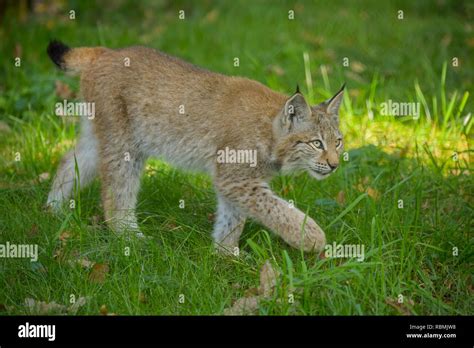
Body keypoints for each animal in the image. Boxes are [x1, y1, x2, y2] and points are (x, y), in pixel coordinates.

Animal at [47, 40, 344, 254]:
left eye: (338, 142)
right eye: (316, 143)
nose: (334, 165)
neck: (271, 132)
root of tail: (107, 51)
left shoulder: (235, 181)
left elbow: (232, 218)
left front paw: (226, 254)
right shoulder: (236, 177)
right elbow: (276, 209)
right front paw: (312, 237)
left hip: (102, 131)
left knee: (70, 160)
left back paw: (53, 209)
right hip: (125, 144)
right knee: (115, 192)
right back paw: (129, 235)